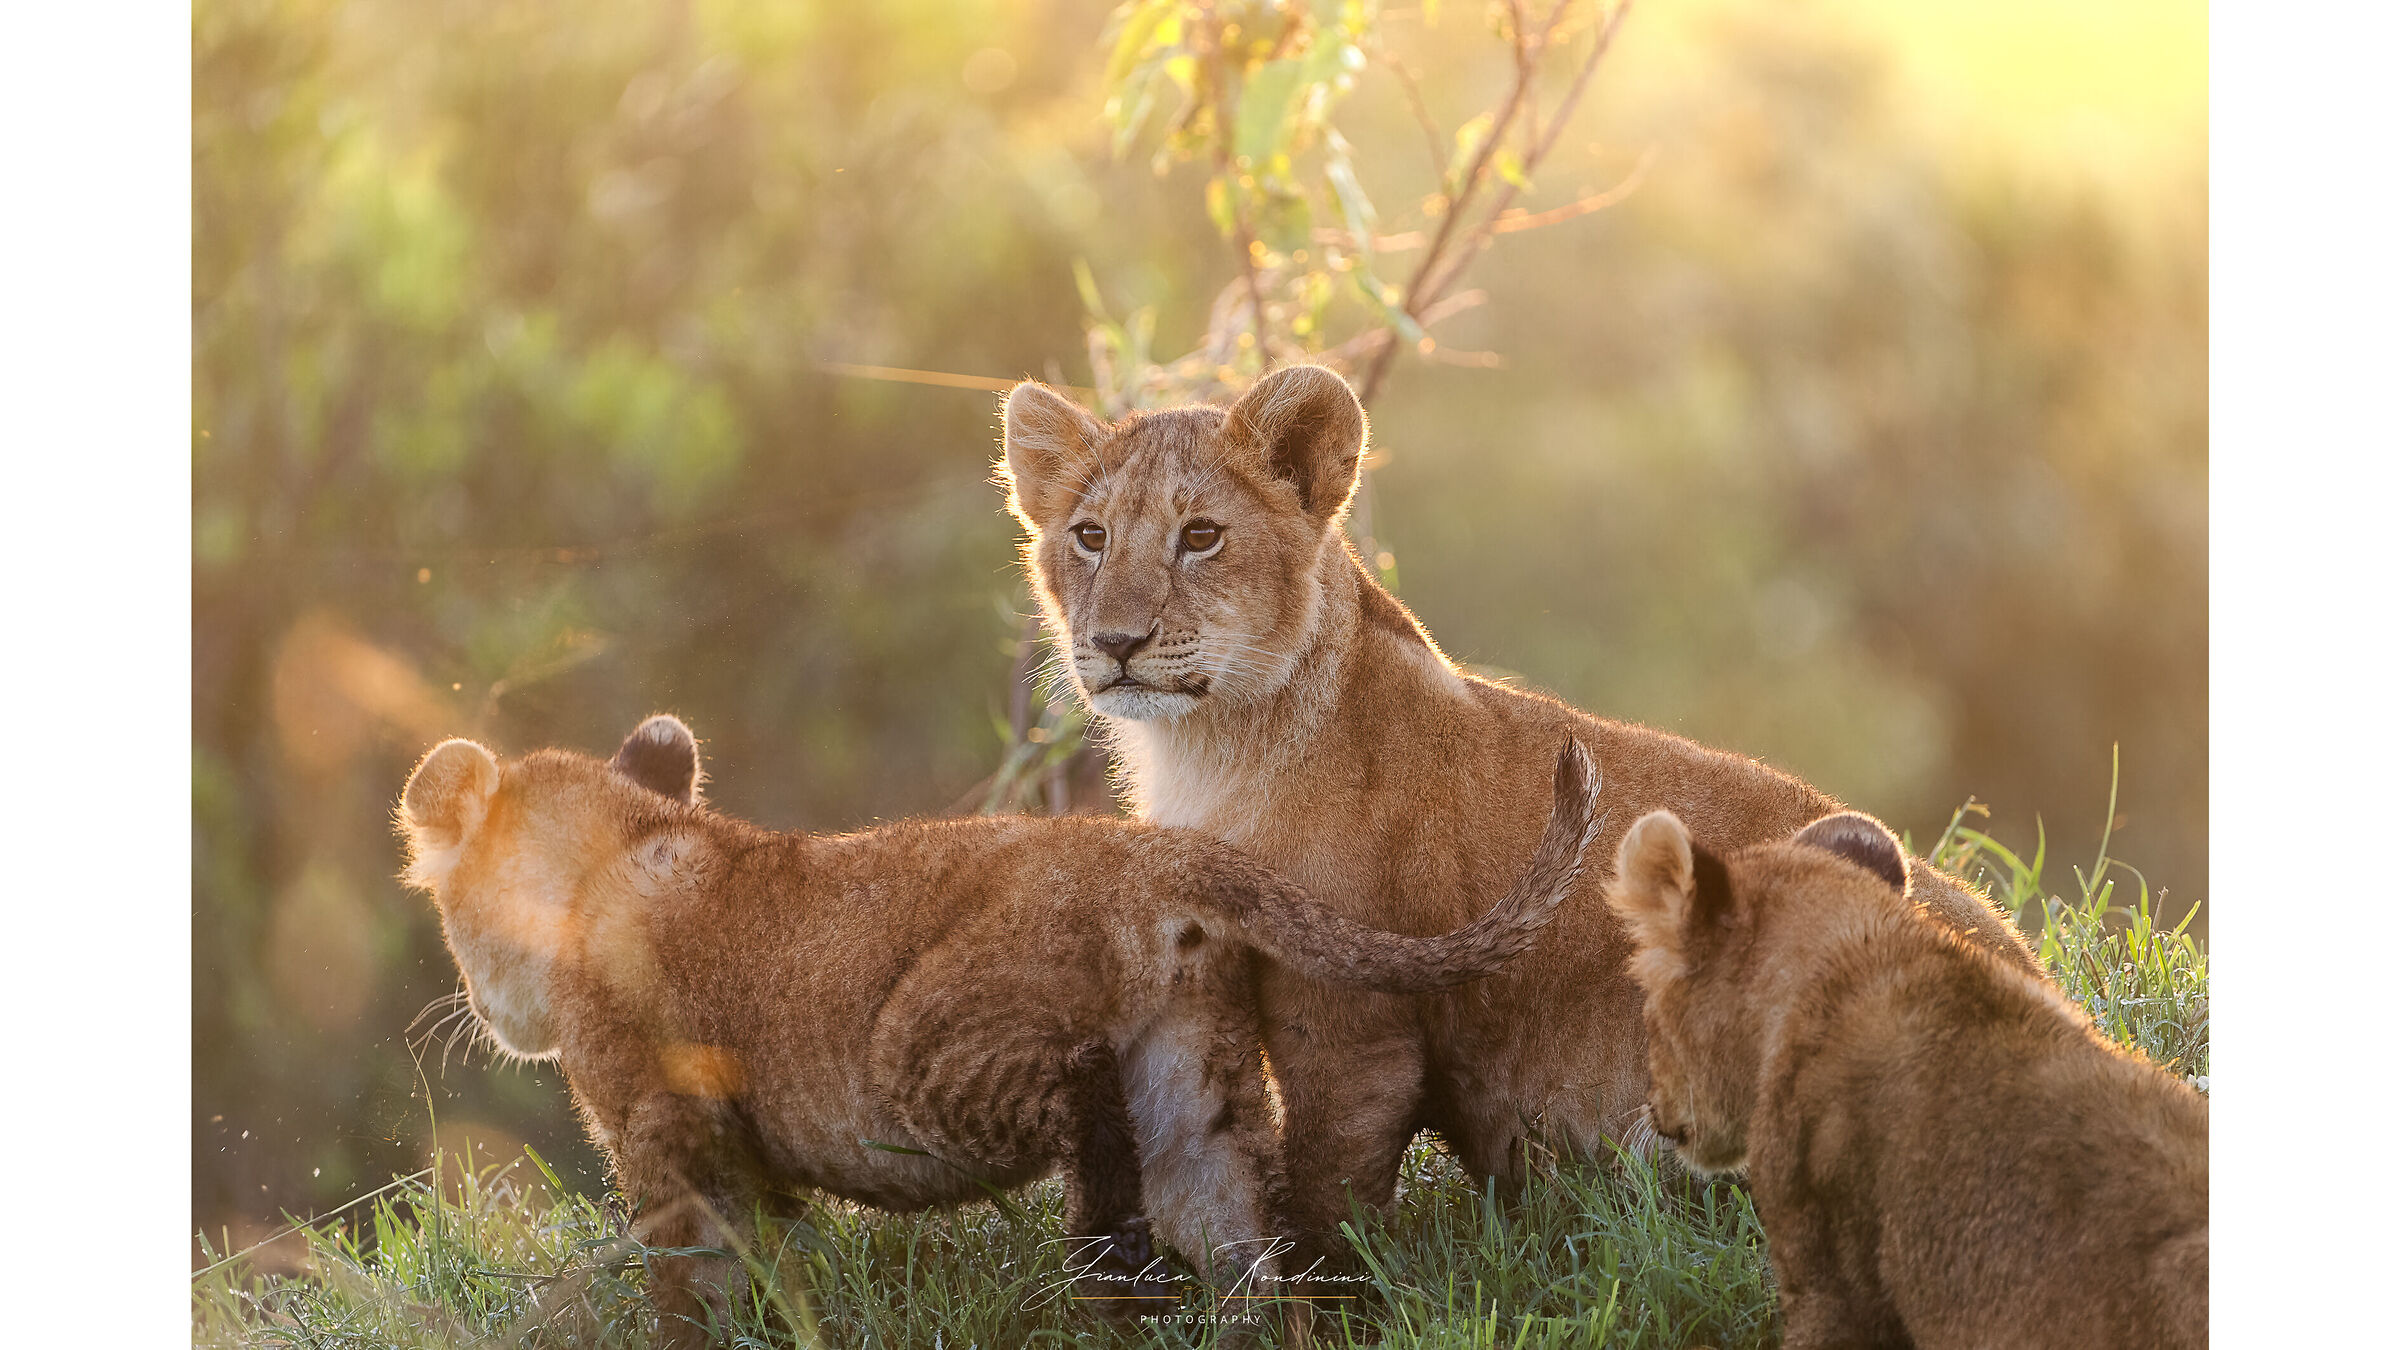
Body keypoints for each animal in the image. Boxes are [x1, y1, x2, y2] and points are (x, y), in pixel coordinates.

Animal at [397, 712, 1599, 1347]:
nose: (485, 1014)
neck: (617, 848)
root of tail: (1152, 851)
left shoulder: (662, 1127)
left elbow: (691, 1270)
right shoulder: (742, 1155)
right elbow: (775, 1267)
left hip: (923, 1054)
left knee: (1086, 1110)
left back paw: (1101, 1271)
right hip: (1194, 1075)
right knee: (1238, 1238)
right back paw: (1212, 1314)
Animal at [997, 364, 2046, 1273]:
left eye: (1202, 536)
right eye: (1089, 537)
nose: (1115, 642)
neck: (1208, 744)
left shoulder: (1352, 1019)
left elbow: (1328, 1183)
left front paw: (1319, 1285)